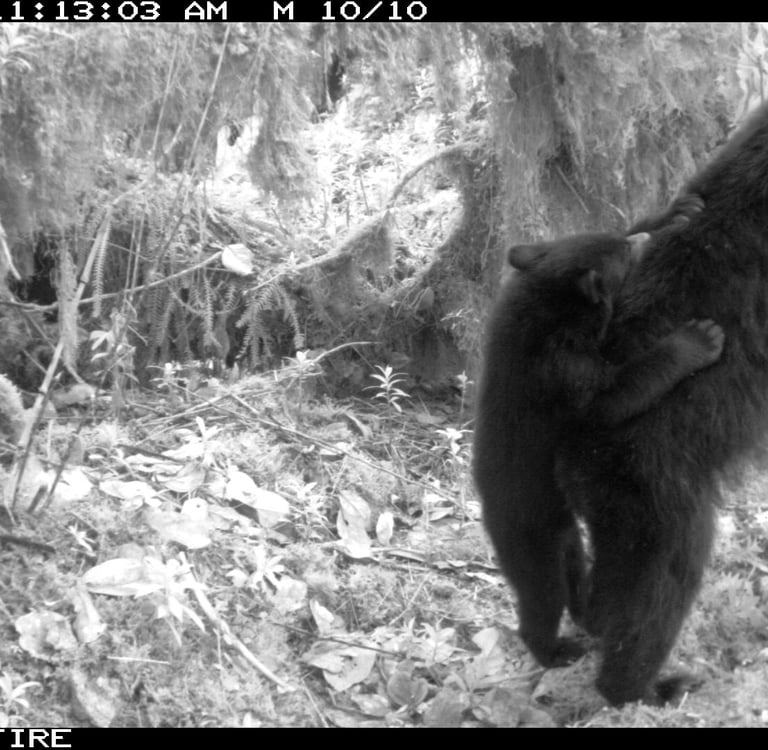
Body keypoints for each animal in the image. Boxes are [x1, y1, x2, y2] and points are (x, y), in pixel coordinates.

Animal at [473, 228, 724, 669]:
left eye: (621, 238)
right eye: (624, 250)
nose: (644, 234)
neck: (545, 306)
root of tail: (490, 520)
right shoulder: (560, 369)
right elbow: (614, 395)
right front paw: (700, 337)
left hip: (563, 531)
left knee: (574, 568)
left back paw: (587, 614)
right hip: (532, 536)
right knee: (543, 595)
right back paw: (555, 649)